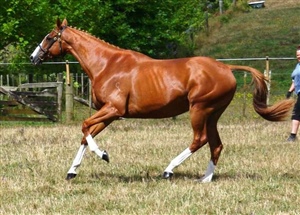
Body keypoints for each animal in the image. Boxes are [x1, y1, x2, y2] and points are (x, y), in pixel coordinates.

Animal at [30, 19, 292, 182]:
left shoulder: (114, 110)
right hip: (213, 114)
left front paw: (103, 155)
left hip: (200, 109)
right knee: (216, 145)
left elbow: (84, 127)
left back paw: (169, 170)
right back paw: (205, 179)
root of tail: (226, 68)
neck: (107, 65)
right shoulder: (109, 114)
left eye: (49, 37)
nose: (33, 57)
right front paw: (72, 172)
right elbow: (86, 134)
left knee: (200, 140)